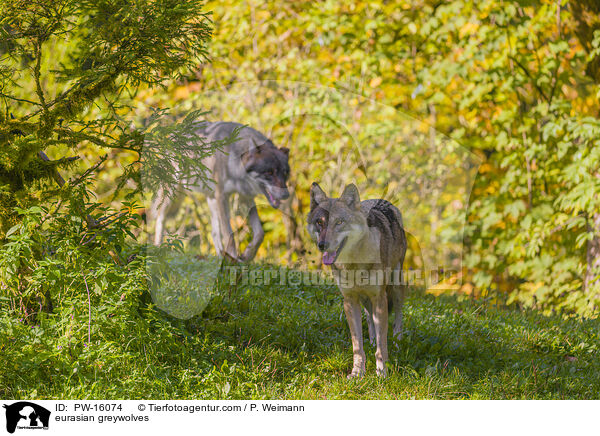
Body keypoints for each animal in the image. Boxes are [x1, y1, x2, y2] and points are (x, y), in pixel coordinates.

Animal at [150, 121, 290, 260]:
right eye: (269, 172)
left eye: (285, 173)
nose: (286, 195)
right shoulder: (222, 196)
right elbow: (229, 235)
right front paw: (233, 258)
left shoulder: (245, 198)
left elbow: (259, 233)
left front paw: (247, 255)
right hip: (172, 194)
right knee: (160, 218)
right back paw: (158, 247)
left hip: (210, 199)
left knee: (214, 232)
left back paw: (220, 257)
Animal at [304, 182, 408, 376]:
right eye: (319, 223)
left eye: (339, 222)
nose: (322, 245)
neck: (354, 263)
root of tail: (382, 200)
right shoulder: (350, 300)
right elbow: (357, 345)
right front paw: (358, 372)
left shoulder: (380, 298)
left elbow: (383, 345)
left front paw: (382, 373)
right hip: (365, 298)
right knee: (370, 319)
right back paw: (372, 341)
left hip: (396, 285)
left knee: (398, 317)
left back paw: (398, 344)